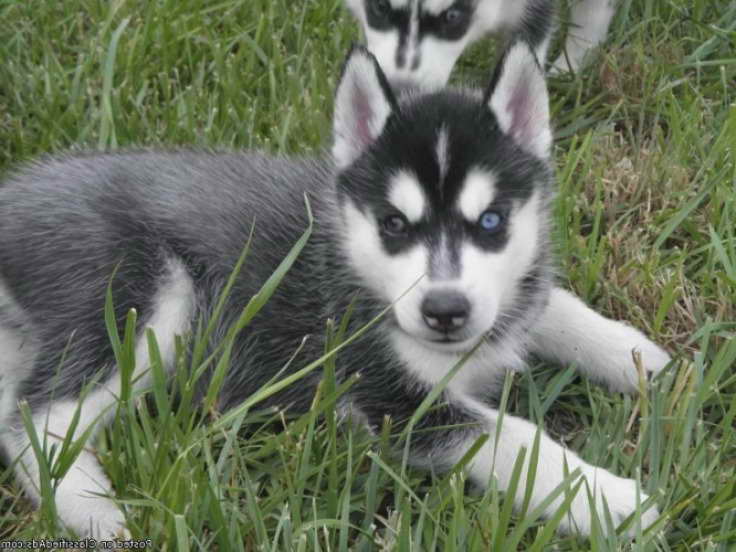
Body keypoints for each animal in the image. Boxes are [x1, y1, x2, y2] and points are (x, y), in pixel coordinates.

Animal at [0, 44, 668, 540]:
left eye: (491, 221)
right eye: (393, 224)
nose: (445, 311)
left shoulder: (508, 296)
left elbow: (553, 304)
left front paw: (637, 358)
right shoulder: (393, 400)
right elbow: (512, 438)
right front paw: (610, 500)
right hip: (146, 297)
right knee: (33, 419)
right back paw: (96, 512)